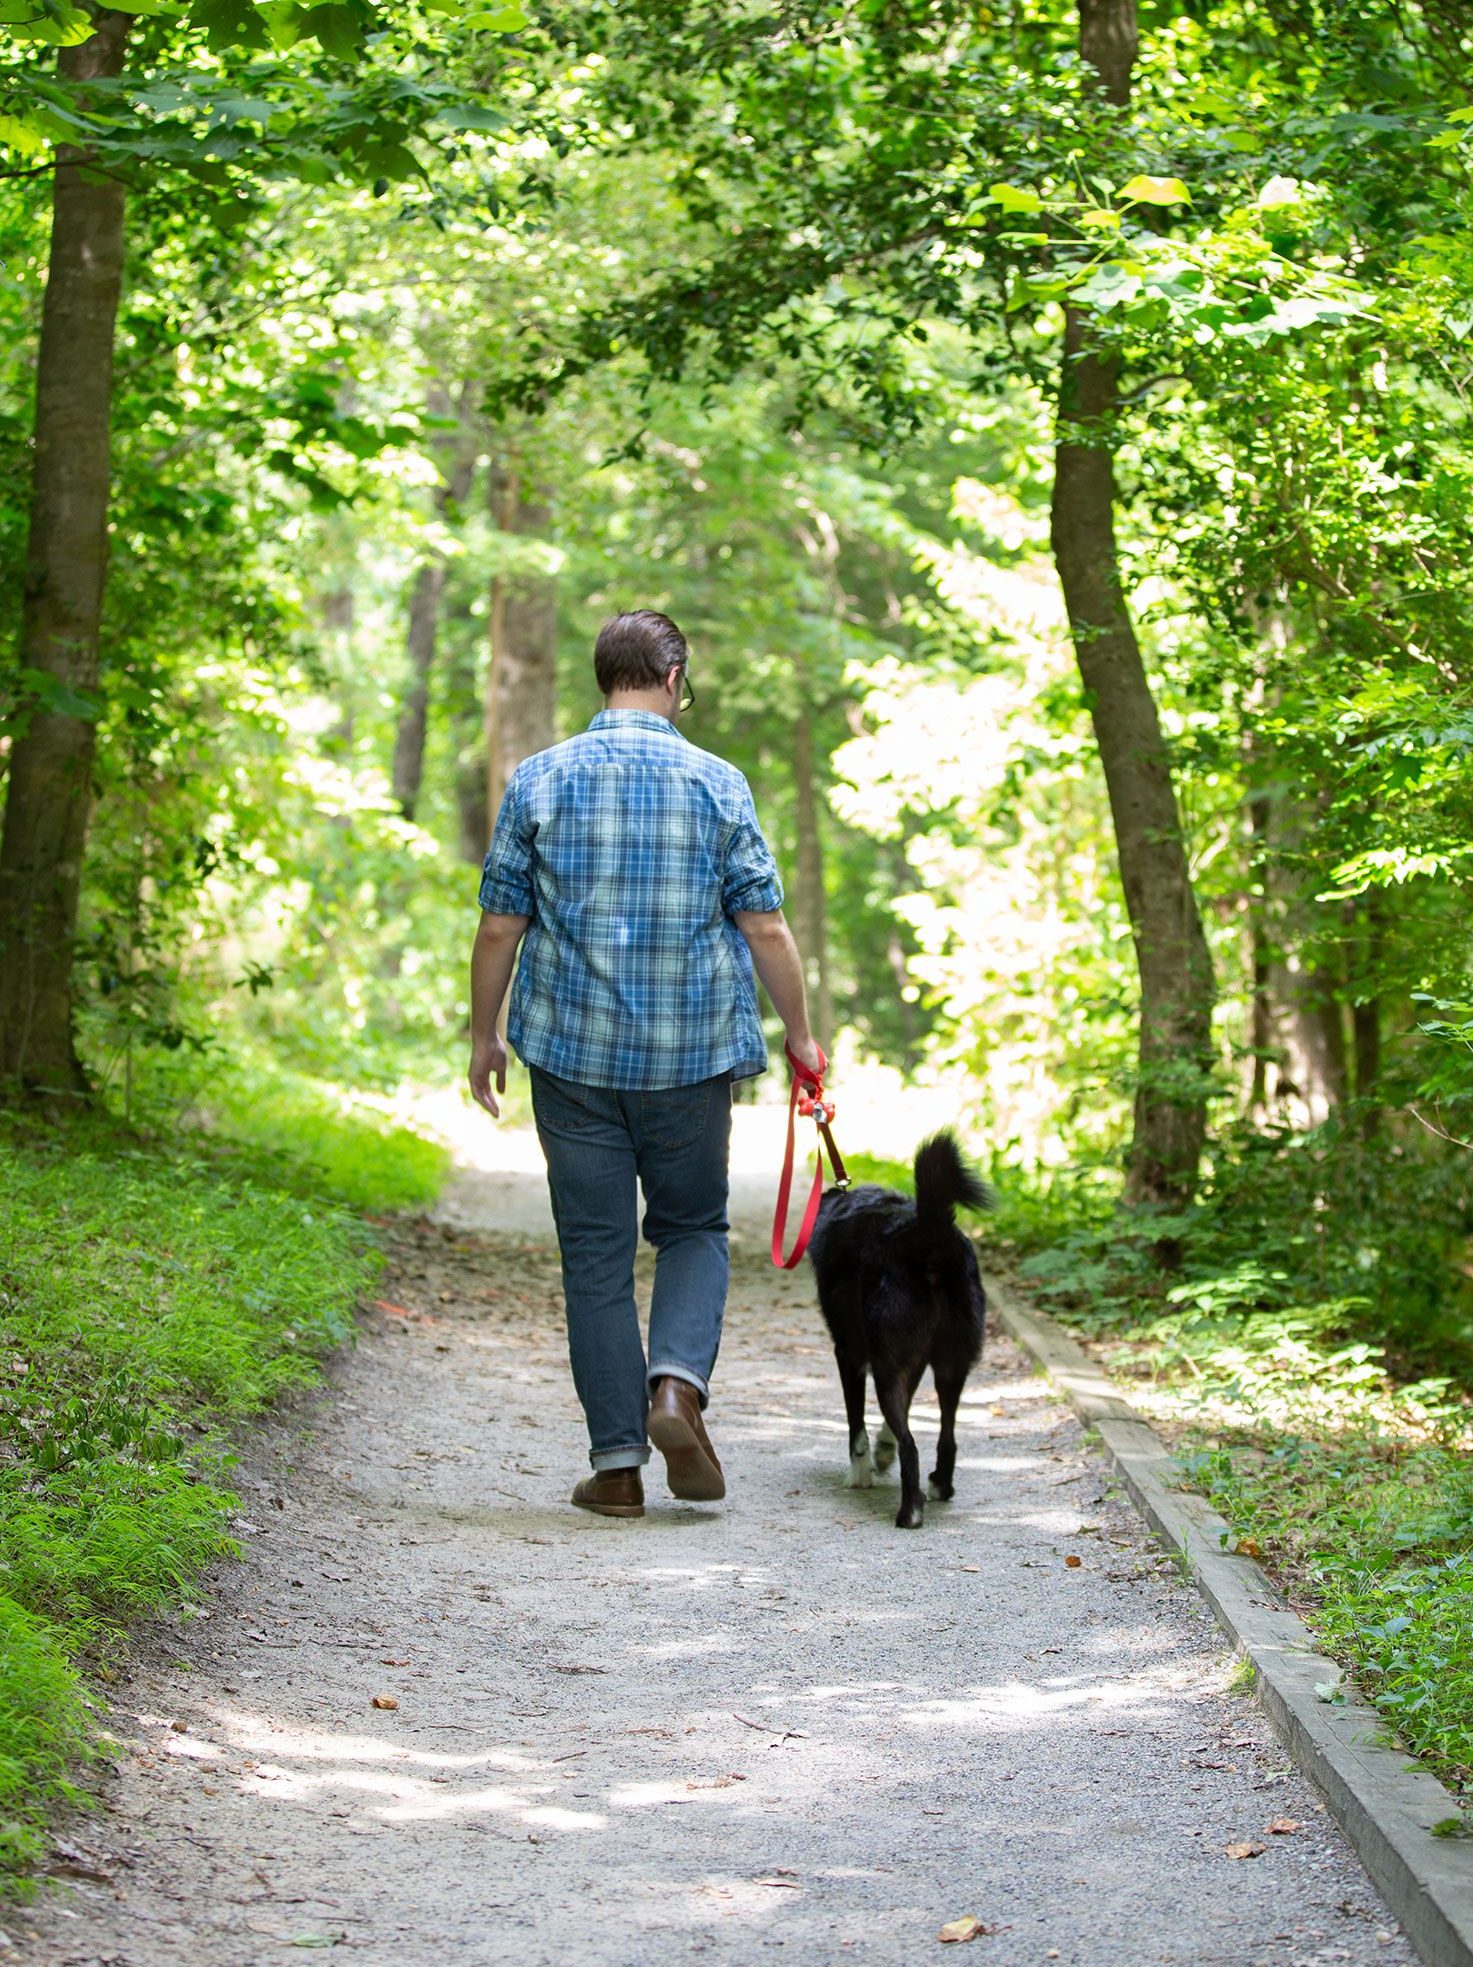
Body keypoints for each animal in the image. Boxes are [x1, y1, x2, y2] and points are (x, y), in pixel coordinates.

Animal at [806, 1132, 987, 1526]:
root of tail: (929, 1237)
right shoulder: (913, 1363)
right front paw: (882, 1451)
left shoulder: (850, 1355)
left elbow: (856, 1428)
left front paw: (860, 1476)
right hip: (951, 1366)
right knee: (947, 1435)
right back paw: (939, 1486)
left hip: (887, 1368)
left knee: (911, 1445)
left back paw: (910, 1512)